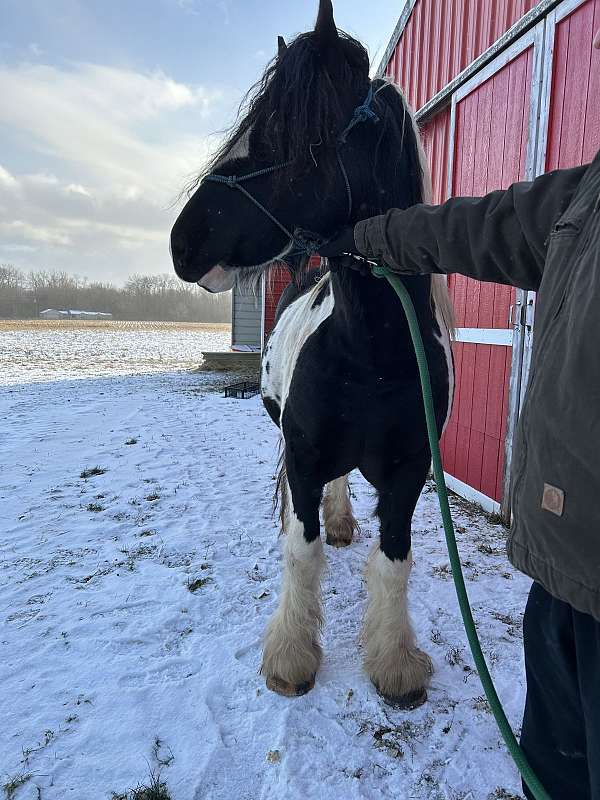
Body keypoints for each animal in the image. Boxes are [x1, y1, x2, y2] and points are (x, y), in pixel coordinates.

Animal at [171, 1, 452, 712]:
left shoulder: (410, 472)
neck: (373, 355)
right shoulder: (299, 456)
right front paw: (291, 658)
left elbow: (395, 560)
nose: (181, 243)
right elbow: (302, 552)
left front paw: (396, 663)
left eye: (283, 126)